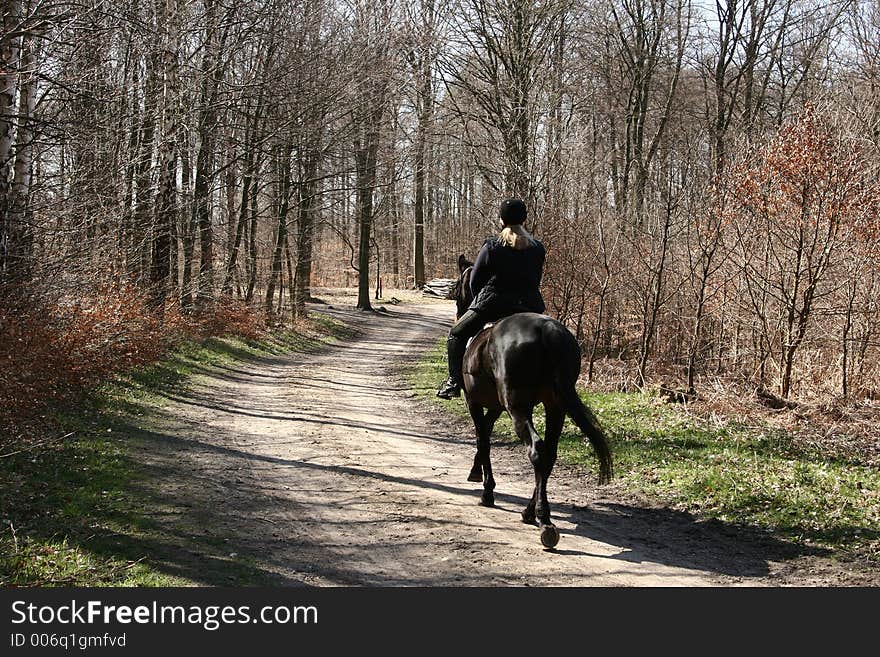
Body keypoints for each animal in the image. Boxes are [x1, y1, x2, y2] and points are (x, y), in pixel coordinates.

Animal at [450, 254, 608, 544]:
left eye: (458, 287)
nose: (459, 311)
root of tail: (547, 332)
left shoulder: (475, 403)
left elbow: (483, 439)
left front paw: (487, 491)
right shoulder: (497, 407)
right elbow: (486, 434)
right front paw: (477, 472)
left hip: (519, 408)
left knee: (536, 450)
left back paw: (544, 521)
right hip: (554, 406)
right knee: (549, 454)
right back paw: (530, 512)